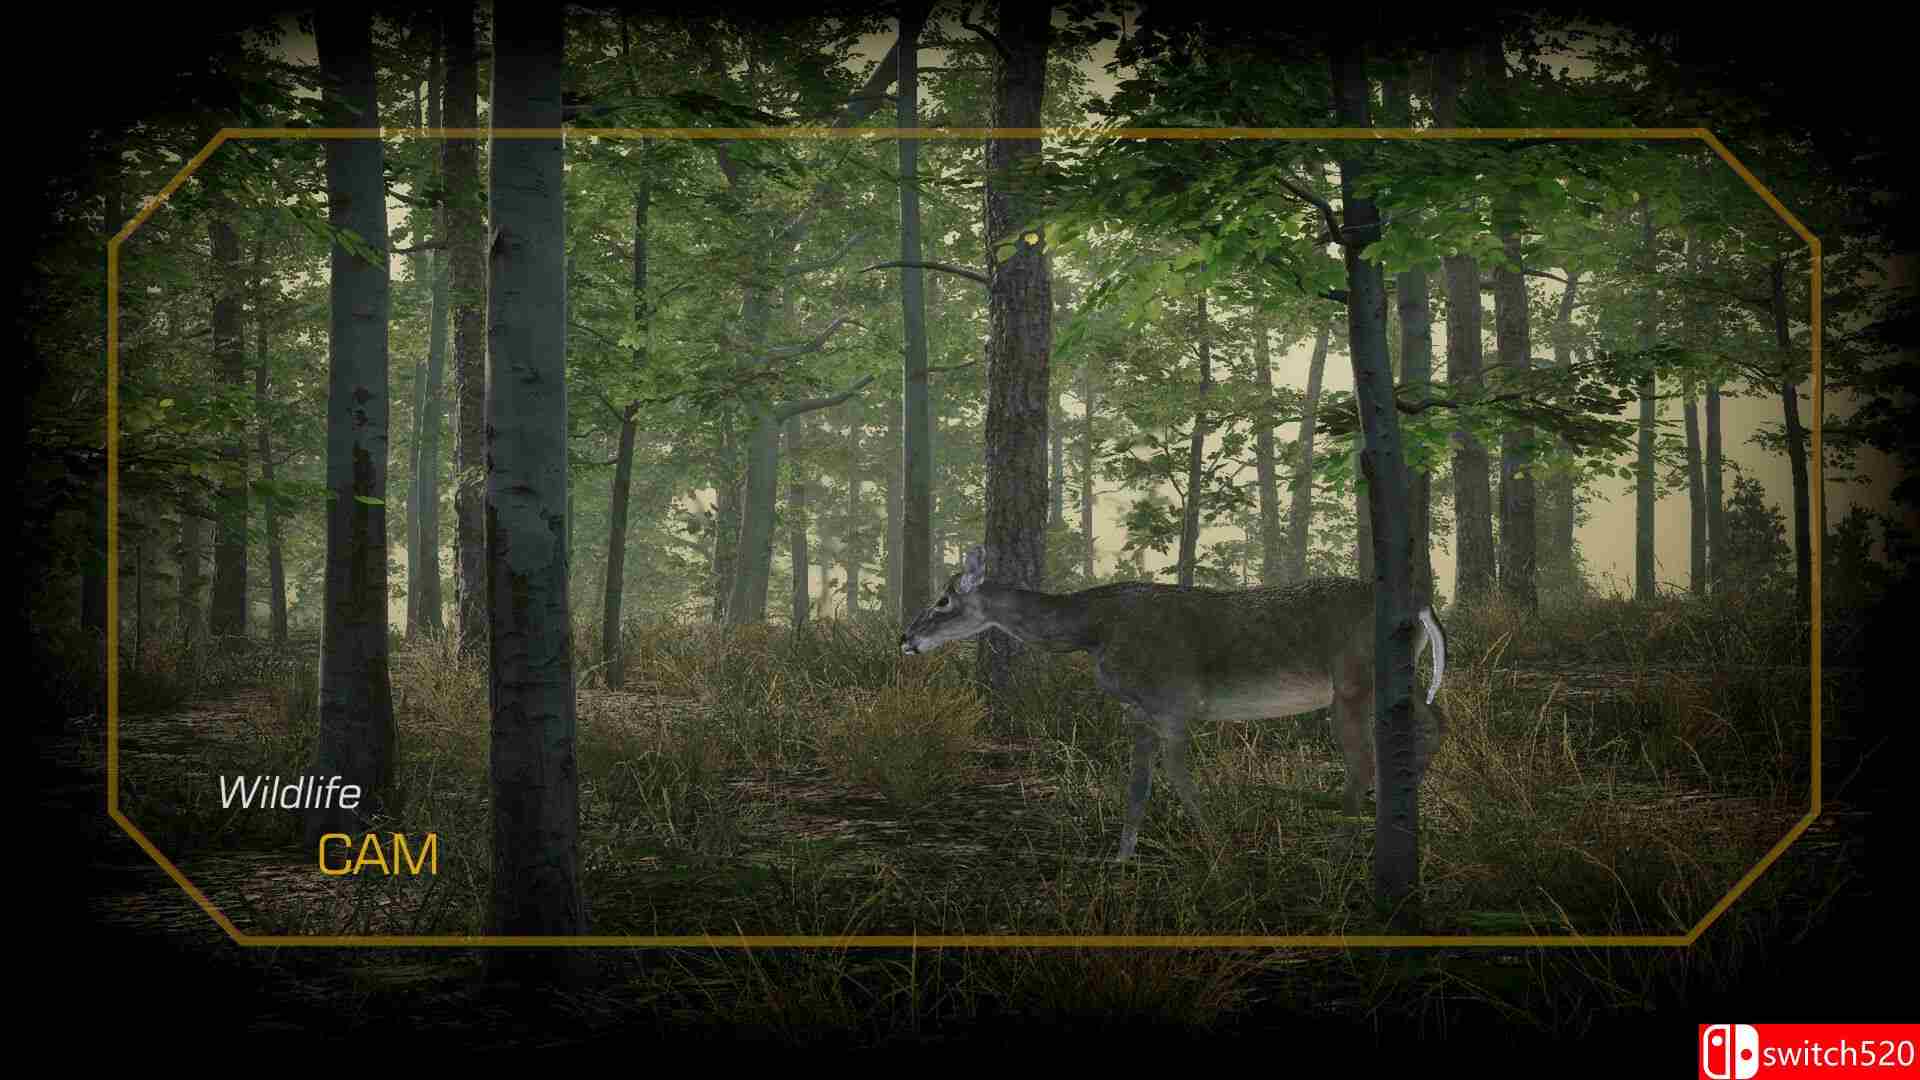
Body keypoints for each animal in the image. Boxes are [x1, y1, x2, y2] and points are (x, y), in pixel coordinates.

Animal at [900, 545, 1447, 862]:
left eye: (943, 601)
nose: (906, 639)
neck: (1093, 632)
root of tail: (1421, 606)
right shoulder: (1139, 712)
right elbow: (1137, 788)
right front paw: (1121, 860)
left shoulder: (1174, 703)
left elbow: (1180, 778)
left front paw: (1218, 846)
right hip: (1387, 681)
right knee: (1436, 719)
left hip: (1353, 682)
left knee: (1363, 762)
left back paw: (1341, 844)